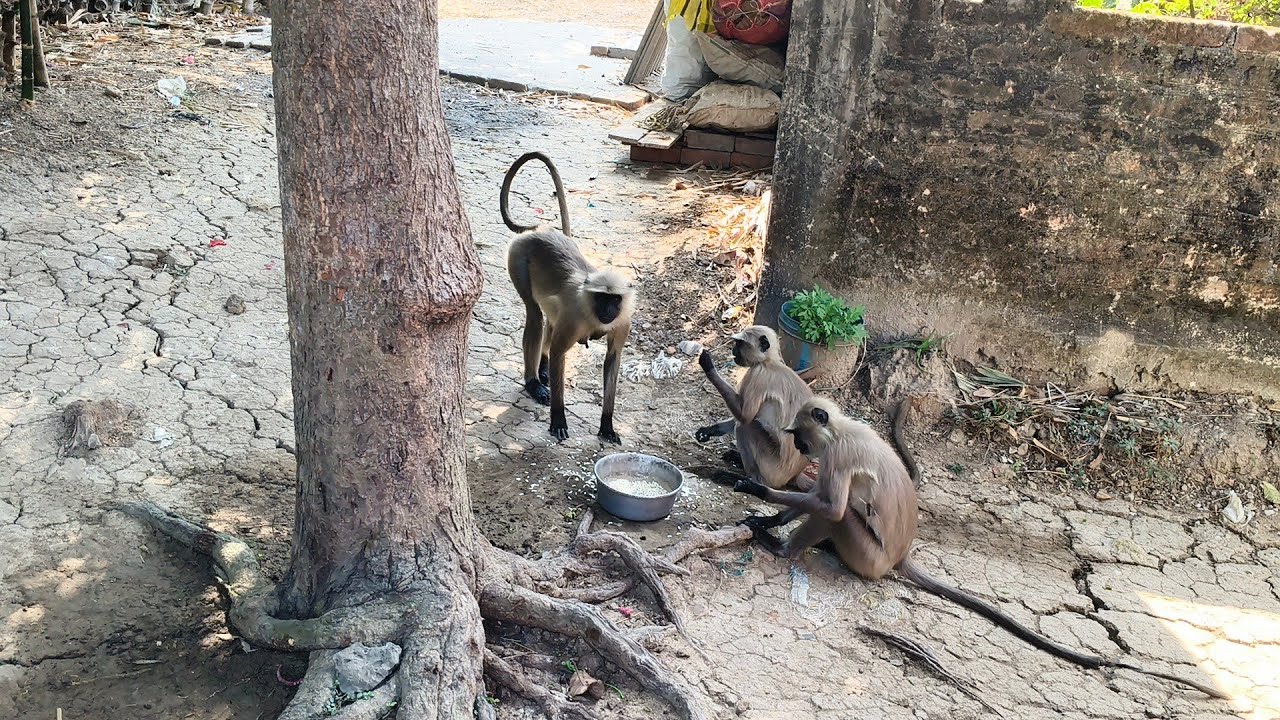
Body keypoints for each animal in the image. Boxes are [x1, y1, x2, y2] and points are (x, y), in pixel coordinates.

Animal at [502, 151, 635, 444]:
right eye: (602, 298)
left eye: (615, 300)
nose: (608, 310)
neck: (592, 312)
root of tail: (540, 230)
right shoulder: (574, 315)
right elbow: (560, 353)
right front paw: (558, 418)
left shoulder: (623, 322)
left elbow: (612, 359)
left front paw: (607, 424)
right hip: (518, 254)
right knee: (535, 315)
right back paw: (533, 382)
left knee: (549, 321)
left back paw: (542, 367)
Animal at [732, 396, 1227, 700]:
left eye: (800, 436)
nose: (798, 445)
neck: (841, 431)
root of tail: (900, 555)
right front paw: (768, 517)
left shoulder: (839, 456)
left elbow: (830, 506)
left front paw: (756, 493)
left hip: (868, 553)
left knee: (839, 515)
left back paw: (786, 551)